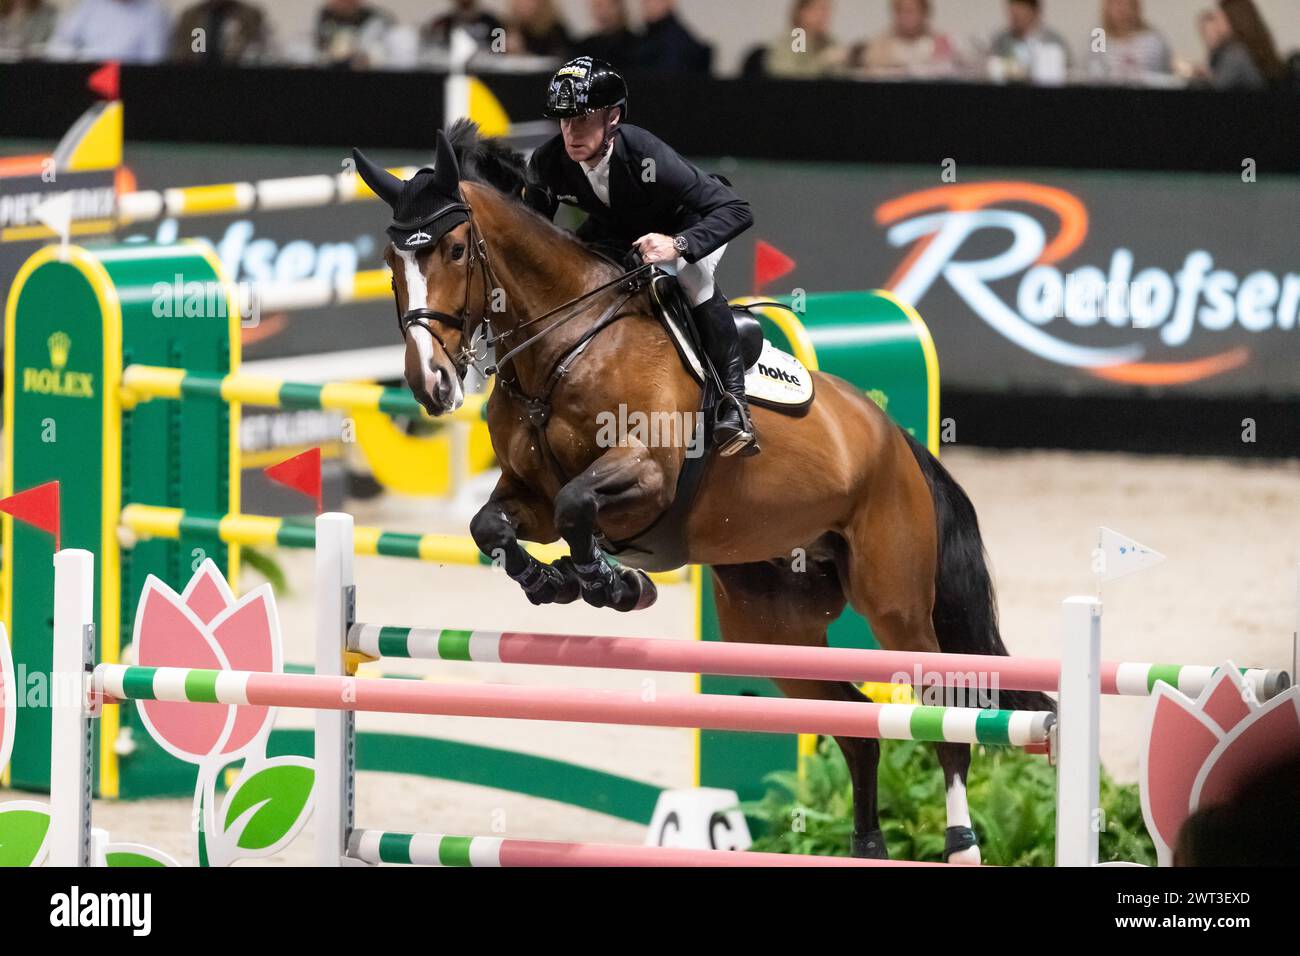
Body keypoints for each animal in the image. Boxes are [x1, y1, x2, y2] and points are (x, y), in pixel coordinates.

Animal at [356, 123, 1055, 863]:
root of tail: (896, 441)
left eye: (456, 250)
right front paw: (556, 582)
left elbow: (580, 505)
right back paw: (868, 846)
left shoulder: (646, 476)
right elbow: (492, 527)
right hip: (774, 629)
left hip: (894, 605)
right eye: (390, 259)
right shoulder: (529, 497)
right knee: (856, 723)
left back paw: (961, 843)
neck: (566, 347)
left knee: (945, 716)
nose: (430, 384)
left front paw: (614, 584)